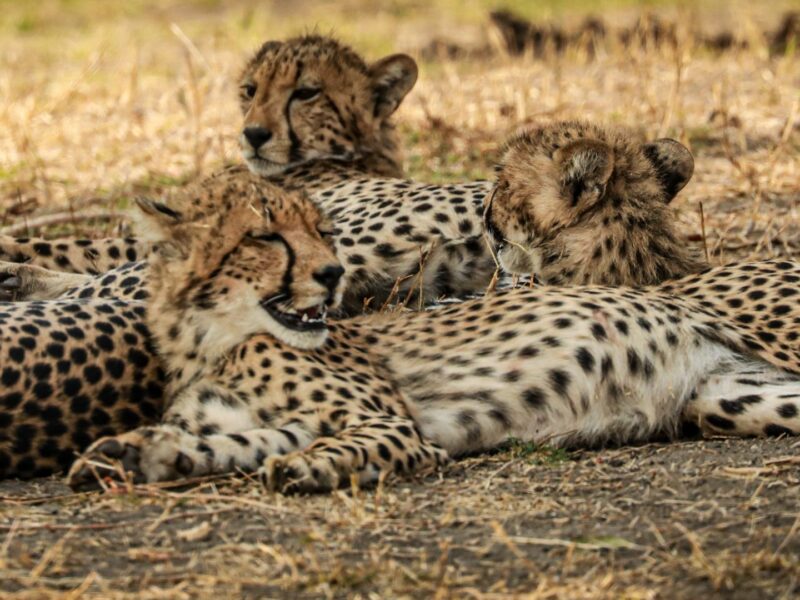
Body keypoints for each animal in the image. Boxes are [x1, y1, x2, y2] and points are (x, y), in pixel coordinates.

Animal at [65, 186, 800, 494]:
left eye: (324, 233)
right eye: (266, 237)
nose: (333, 275)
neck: (213, 338)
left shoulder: (395, 426)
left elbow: (343, 446)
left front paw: (312, 469)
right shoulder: (273, 423)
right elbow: (226, 444)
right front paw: (134, 454)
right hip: (734, 397)